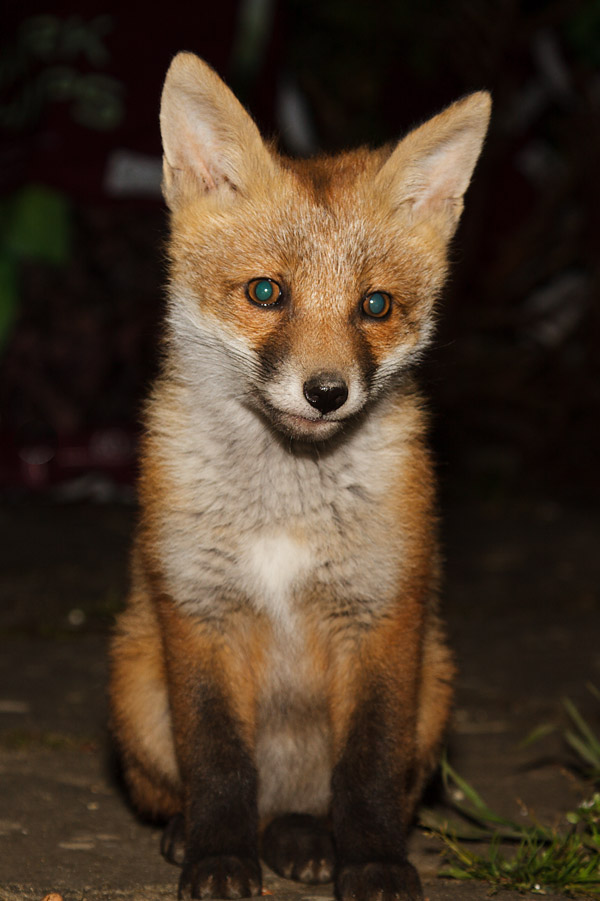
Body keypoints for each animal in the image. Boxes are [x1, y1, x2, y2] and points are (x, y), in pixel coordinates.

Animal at [109, 52, 490, 901]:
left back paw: (304, 837)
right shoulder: (200, 611)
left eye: (375, 306)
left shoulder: (382, 615)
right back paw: (197, 834)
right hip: (135, 679)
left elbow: (367, 772)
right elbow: (219, 763)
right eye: (265, 293)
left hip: (438, 681)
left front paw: (374, 862)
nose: (326, 392)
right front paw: (218, 858)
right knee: (198, 790)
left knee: (315, 803)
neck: (284, 505)